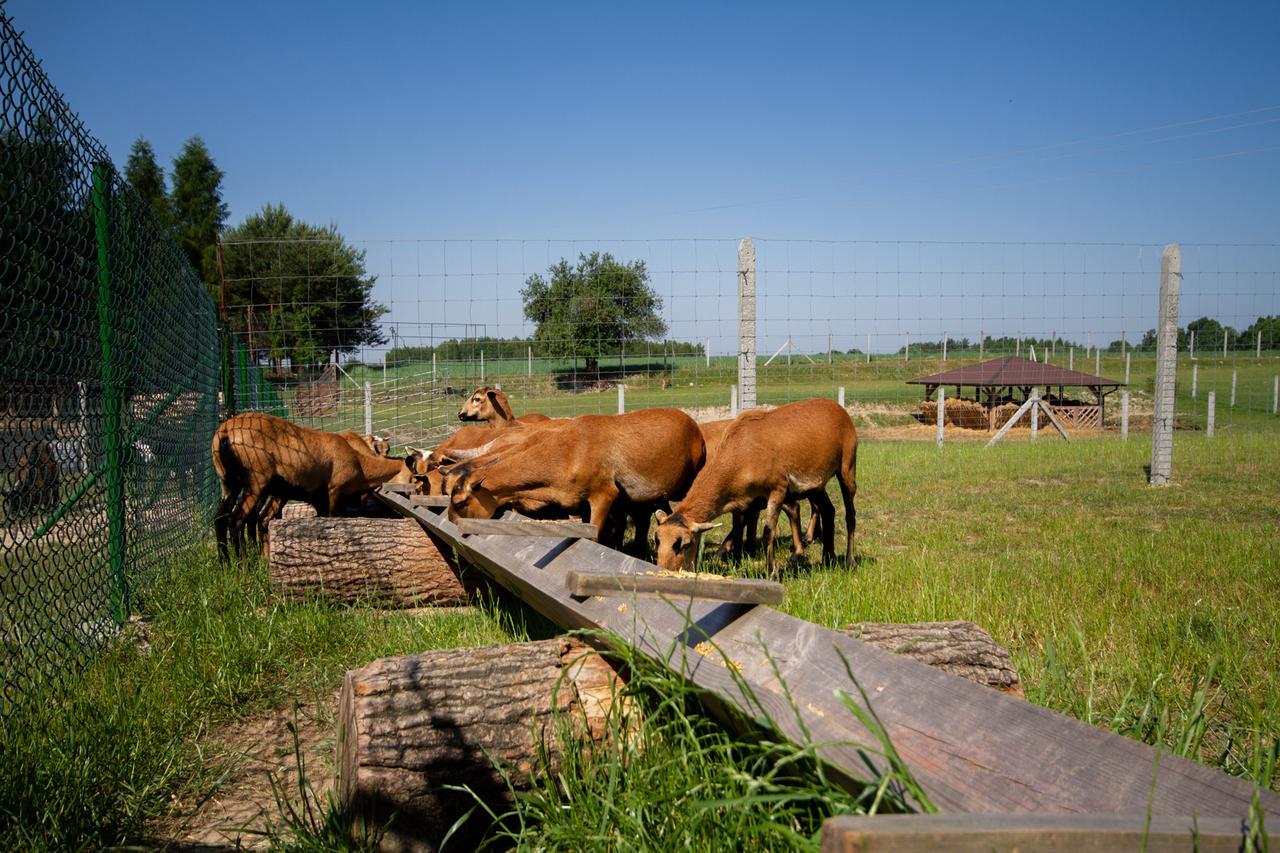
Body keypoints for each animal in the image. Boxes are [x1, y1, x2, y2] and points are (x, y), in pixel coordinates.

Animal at [215, 412, 414, 558]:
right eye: (413, 477)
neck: (360, 461)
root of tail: (223, 432)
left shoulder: (320, 500)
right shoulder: (334, 491)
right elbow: (335, 519)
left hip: (231, 484)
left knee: (224, 519)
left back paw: (228, 562)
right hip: (256, 482)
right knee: (237, 521)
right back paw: (244, 564)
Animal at [450, 404, 706, 537]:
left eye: (460, 503)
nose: (450, 522)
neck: (566, 452)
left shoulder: (604, 494)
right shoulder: (572, 503)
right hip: (656, 494)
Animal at [660, 399, 860, 578]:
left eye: (684, 544)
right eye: (657, 541)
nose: (663, 571)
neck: (741, 453)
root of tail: (836, 406)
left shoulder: (778, 489)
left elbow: (768, 532)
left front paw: (772, 572)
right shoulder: (741, 503)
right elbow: (738, 532)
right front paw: (737, 565)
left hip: (847, 467)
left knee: (850, 515)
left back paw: (849, 561)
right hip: (816, 485)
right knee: (828, 510)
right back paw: (828, 559)